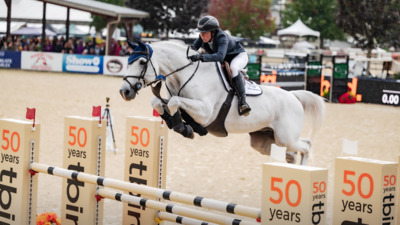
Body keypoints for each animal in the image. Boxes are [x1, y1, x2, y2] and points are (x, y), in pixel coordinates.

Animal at [119, 39, 324, 164]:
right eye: (128, 61)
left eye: (142, 62)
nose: (124, 91)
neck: (186, 74)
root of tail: (294, 96)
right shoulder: (174, 100)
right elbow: (158, 102)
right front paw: (180, 125)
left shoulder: (205, 112)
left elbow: (174, 102)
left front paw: (183, 128)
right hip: (264, 140)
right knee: (291, 152)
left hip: (285, 137)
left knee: (306, 145)